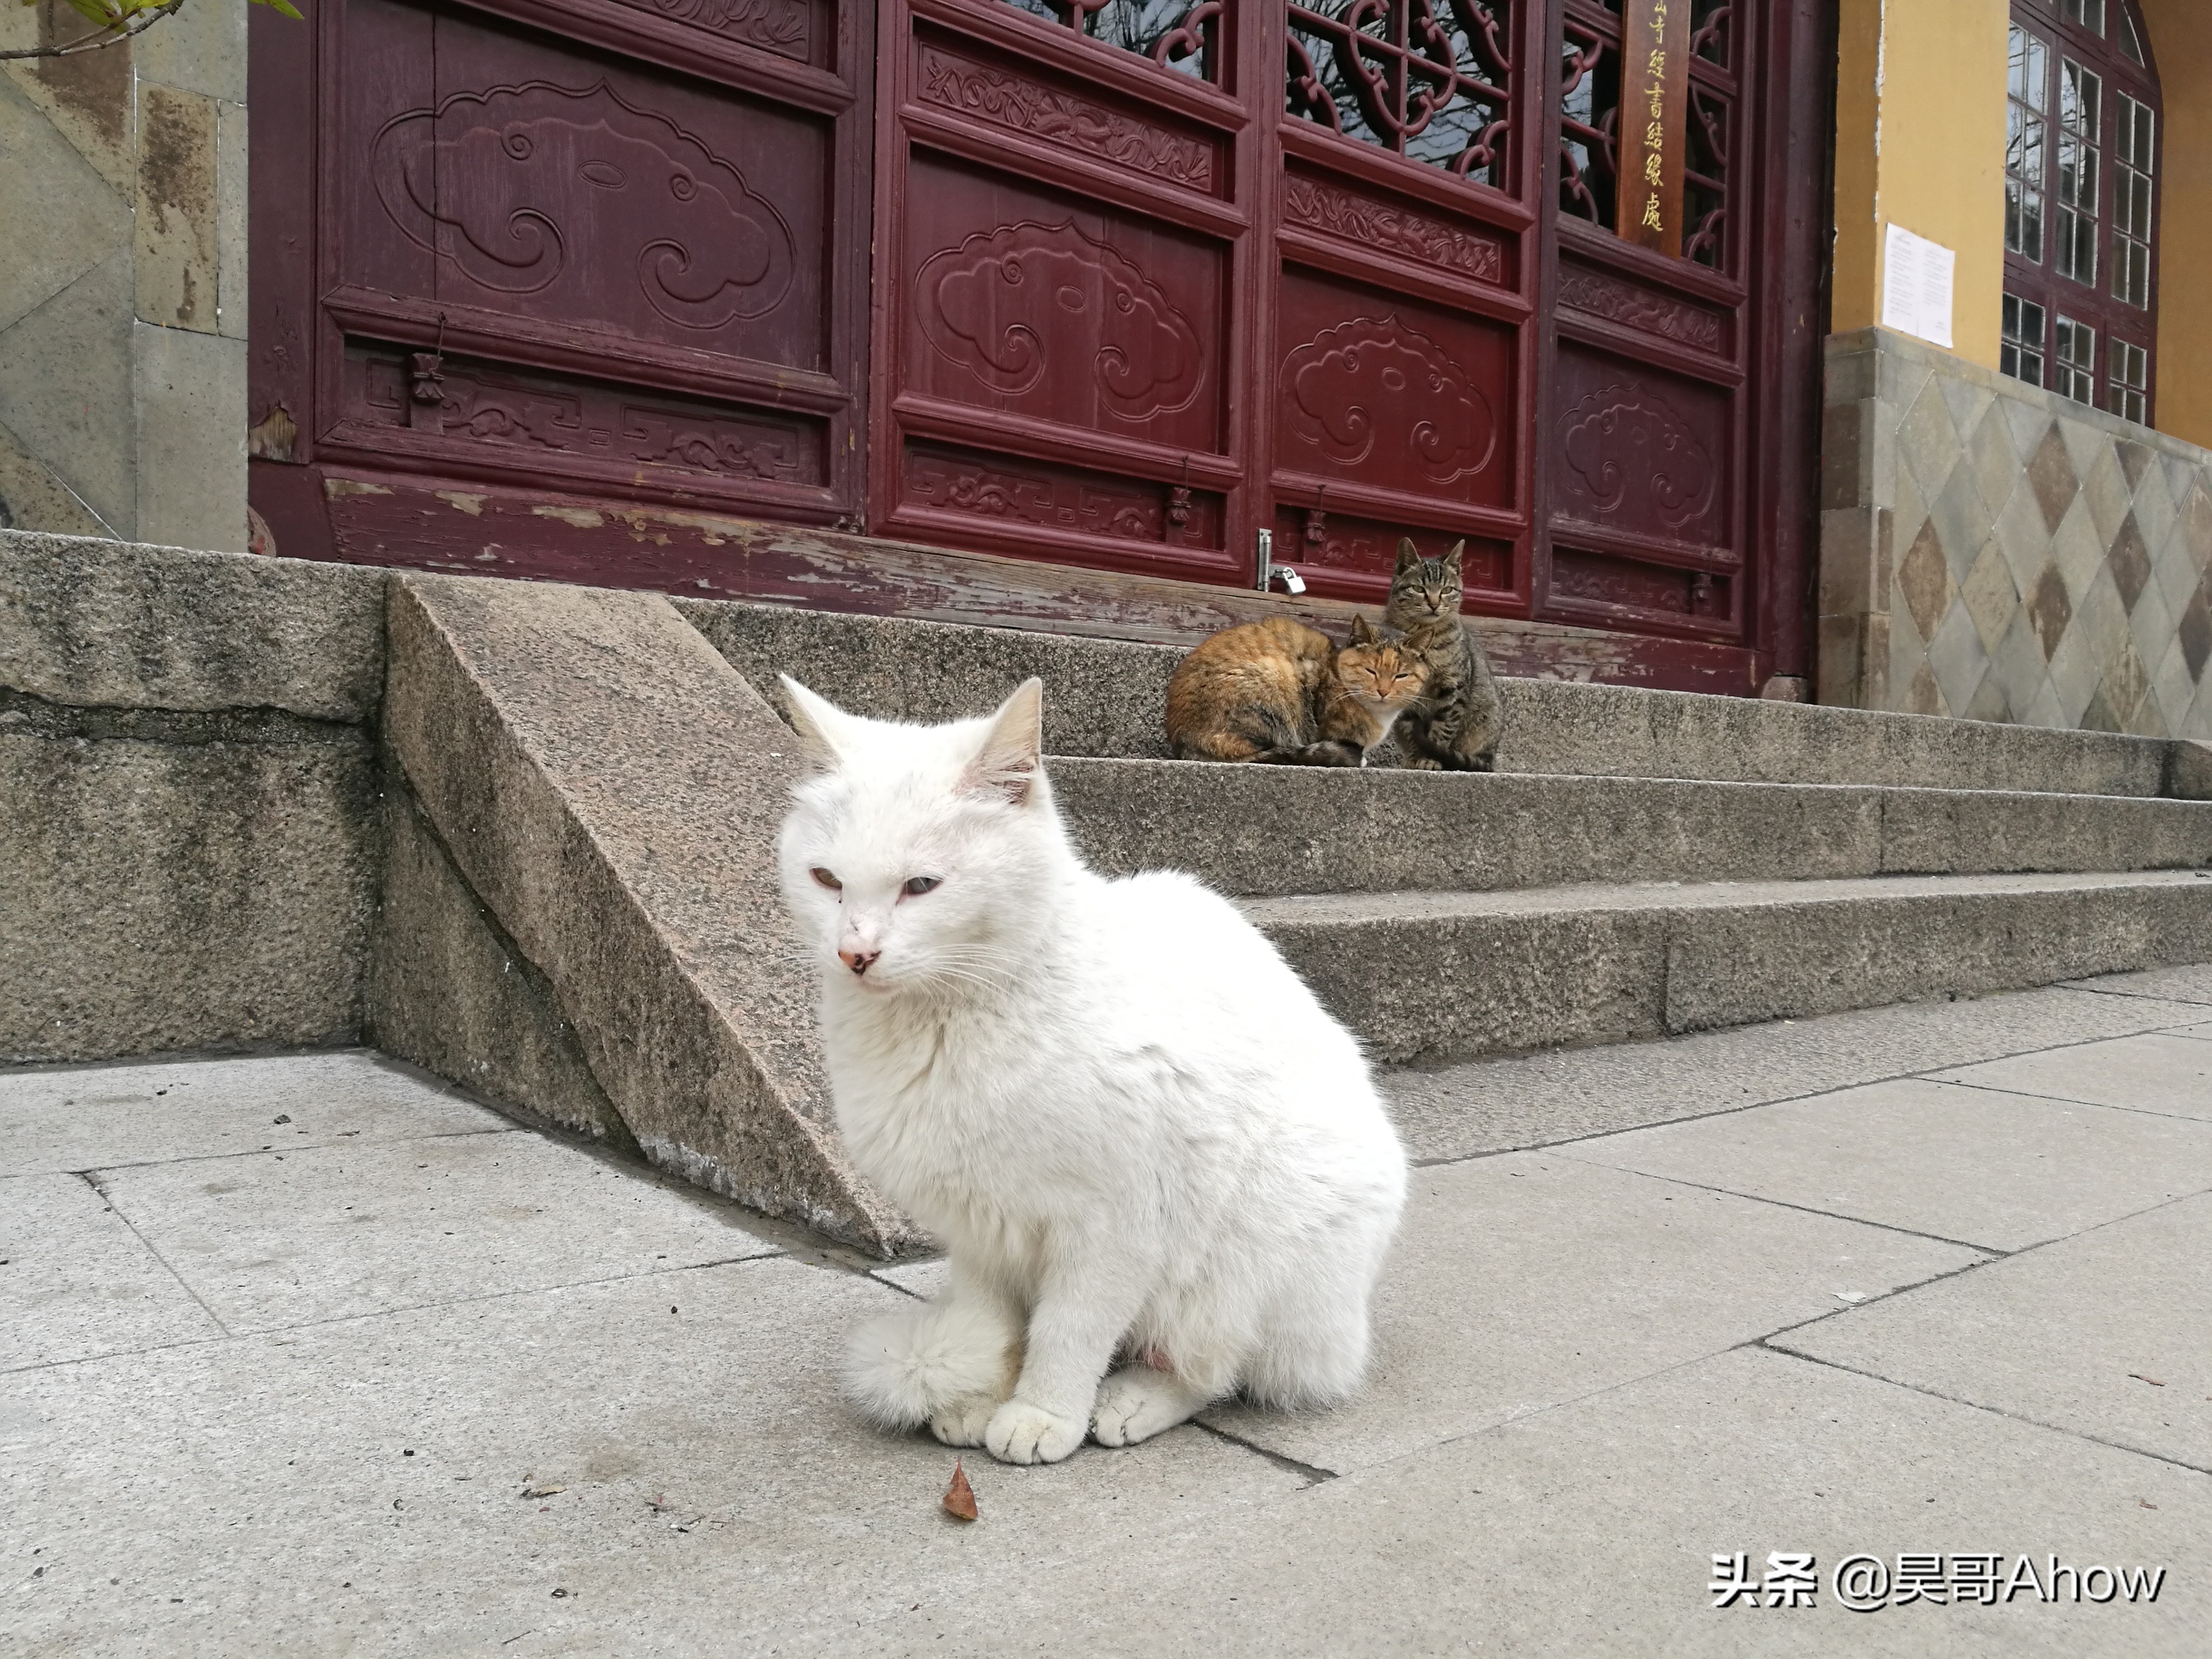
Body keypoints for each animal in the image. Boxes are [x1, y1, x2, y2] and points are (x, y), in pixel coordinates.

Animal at [774, 677, 1398, 1468]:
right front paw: (980, 1397)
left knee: (1213, 1369)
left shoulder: (1115, 1227)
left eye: (921, 885)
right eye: (826, 879)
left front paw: (1041, 1413)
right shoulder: (977, 1226)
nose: (855, 953)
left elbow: (1068, 1332)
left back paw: (1130, 1403)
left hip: (1250, 1261)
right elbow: (991, 1319)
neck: (956, 1018)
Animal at [1380, 546, 1504, 778]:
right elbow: (1411, 731)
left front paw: (1431, 759)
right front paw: (1416, 758)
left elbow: (1442, 730)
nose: (1434, 604)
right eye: (1418, 588)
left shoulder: (1453, 690)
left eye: (1447, 590)